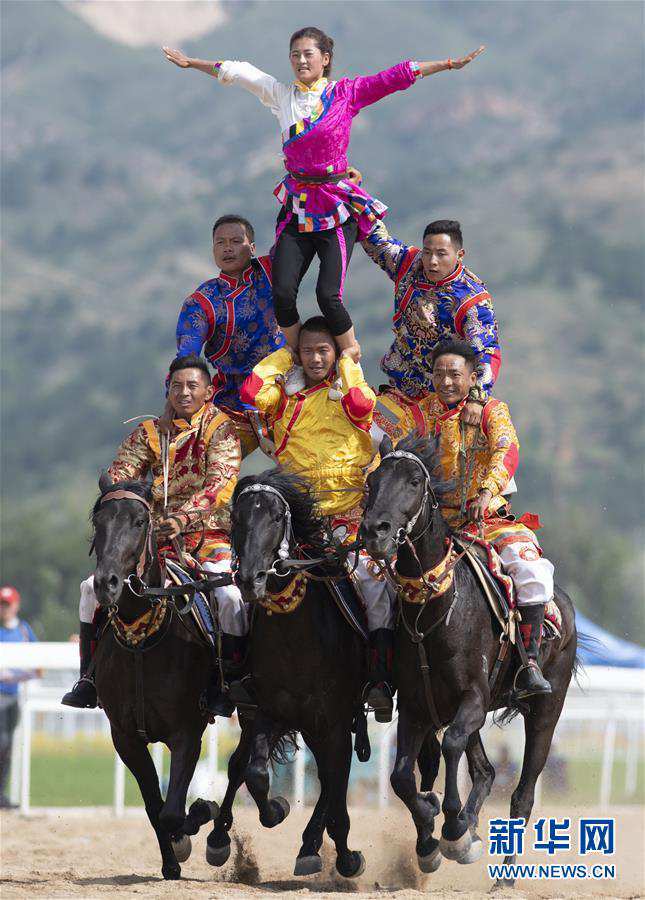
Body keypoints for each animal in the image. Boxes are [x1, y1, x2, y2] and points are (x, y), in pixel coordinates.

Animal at [90, 478, 216, 880]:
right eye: (98, 521)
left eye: (140, 521)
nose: (107, 583)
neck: (144, 641)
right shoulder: (126, 737)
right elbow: (153, 805)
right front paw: (171, 861)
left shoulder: (188, 732)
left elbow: (173, 810)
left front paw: (196, 818)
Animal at [206, 472, 368, 880]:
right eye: (237, 518)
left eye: (277, 518)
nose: (252, 578)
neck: (296, 638)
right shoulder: (271, 711)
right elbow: (255, 773)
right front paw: (275, 810)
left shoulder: (334, 719)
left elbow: (336, 781)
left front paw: (344, 855)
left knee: (333, 777)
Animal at [360, 436, 576, 880]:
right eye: (372, 480)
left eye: (413, 481)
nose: (375, 531)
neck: (436, 610)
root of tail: (564, 611)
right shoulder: (416, 707)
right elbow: (402, 776)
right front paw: (432, 836)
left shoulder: (473, 699)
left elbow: (452, 745)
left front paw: (455, 829)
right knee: (486, 770)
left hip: (546, 712)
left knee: (523, 793)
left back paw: (504, 875)